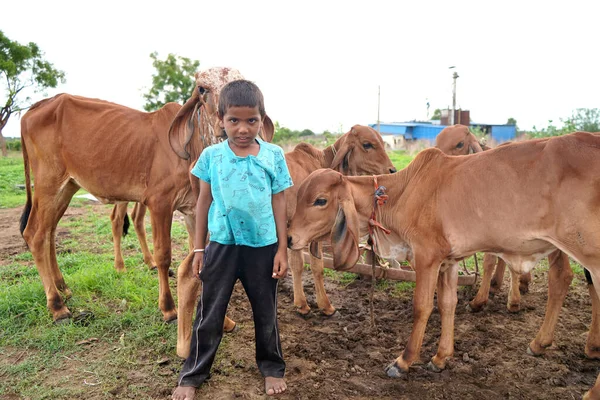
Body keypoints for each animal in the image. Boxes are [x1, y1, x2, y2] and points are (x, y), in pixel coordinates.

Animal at [284, 133, 600, 398]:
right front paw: (441, 357)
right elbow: (448, 304)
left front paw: (404, 361)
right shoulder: (448, 262)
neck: (403, 193)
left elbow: (422, 306)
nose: (289, 237)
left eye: (320, 200)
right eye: (298, 197)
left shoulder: (426, 257)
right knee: (563, 279)